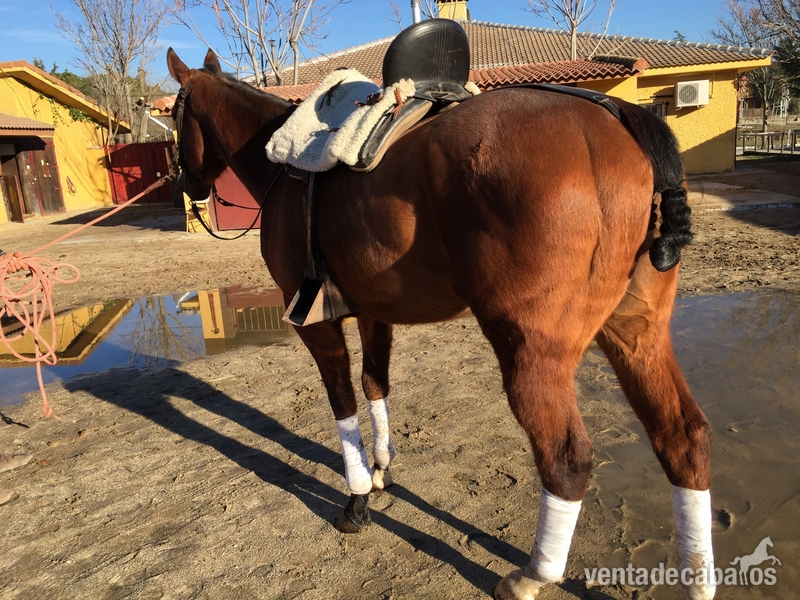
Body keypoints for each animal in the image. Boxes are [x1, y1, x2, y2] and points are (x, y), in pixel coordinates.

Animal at [166, 48, 715, 600]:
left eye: (174, 114)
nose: (189, 187)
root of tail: (617, 118)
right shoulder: (374, 313)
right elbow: (375, 385)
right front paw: (381, 467)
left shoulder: (313, 323)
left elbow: (343, 403)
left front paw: (357, 498)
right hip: (636, 334)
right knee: (683, 438)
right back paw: (697, 574)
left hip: (533, 352)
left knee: (567, 460)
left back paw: (532, 576)